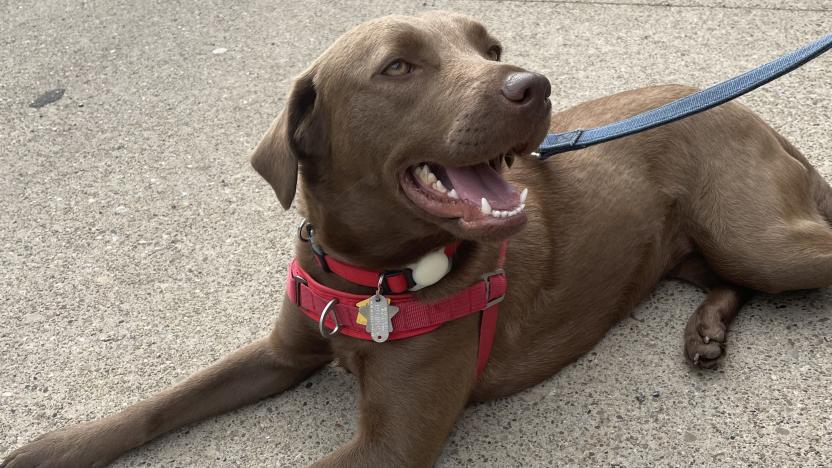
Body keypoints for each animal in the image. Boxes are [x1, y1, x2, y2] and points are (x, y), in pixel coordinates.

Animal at [3, 10, 828, 468]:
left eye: (491, 47)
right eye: (398, 66)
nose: (535, 85)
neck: (369, 276)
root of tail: (753, 115)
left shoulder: (389, 445)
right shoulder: (281, 351)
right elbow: (164, 400)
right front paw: (55, 448)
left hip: (757, 236)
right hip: (700, 249)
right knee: (728, 279)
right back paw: (705, 332)